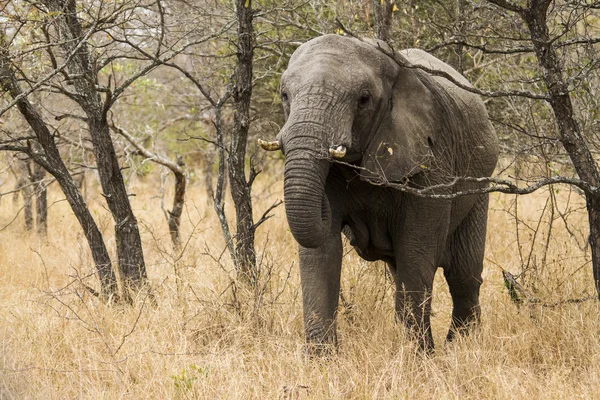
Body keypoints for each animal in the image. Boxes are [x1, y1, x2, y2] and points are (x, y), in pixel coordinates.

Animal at [260, 35, 500, 354]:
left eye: (363, 99)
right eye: (285, 95)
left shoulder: (431, 160)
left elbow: (416, 249)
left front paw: (416, 357)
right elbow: (321, 253)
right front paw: (321, 360)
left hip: (479, 183)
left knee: (463, 274)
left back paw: (459, 347)